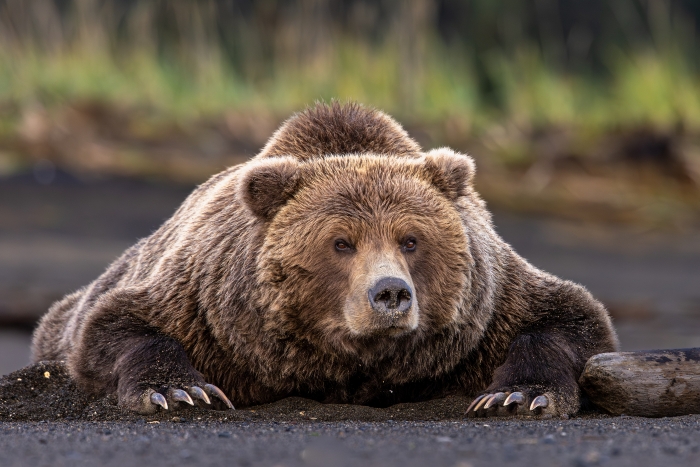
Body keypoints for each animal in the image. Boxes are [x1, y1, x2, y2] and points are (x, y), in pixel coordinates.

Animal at [32, 102, 618, 417]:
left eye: (411, 240)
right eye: (341, 242)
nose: (390, 292)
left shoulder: (489, 308)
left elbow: (570, 317)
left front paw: (518, 395)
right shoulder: (202, 303)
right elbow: (115, 326)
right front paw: (179, 390)